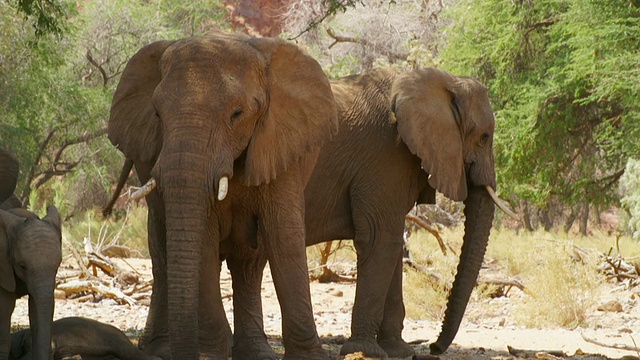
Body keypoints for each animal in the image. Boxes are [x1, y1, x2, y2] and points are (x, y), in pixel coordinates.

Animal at [105, 31, 338, 360]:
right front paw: (210, 352)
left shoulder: (281, 145)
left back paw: (255, 352)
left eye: (237, 114)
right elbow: (203, 237)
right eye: (157, 114)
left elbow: (284, 235)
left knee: (249, 265)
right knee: (163, 254)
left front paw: (310, 356)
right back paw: (163, 348)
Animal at [228, 67, 516, 358]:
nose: (435, 347)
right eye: (484, 137)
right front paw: (365, 350)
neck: (438, 81)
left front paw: (397, 350)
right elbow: (379, 238)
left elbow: (393, 246)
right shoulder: (386, 156)